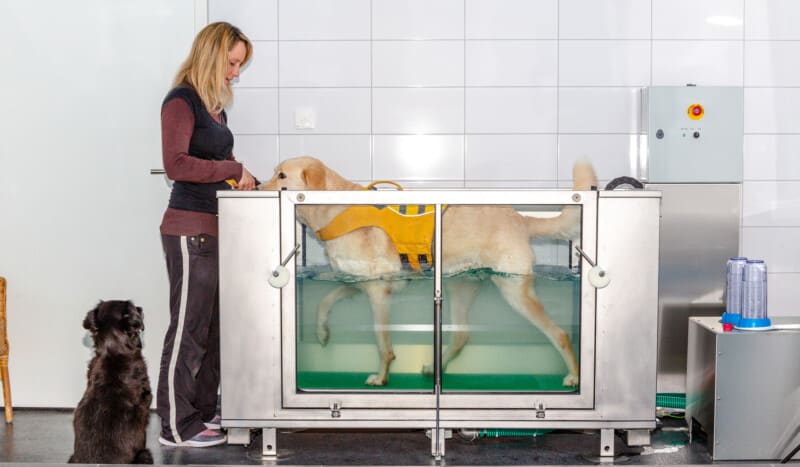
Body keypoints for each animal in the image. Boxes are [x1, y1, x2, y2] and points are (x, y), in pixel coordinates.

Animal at [260, 157, 596, 388]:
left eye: (281, 175)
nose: (257, 188)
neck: (334, 208)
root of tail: (520, 219)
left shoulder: (378, 291)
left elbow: (382, 343)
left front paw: (382, 377)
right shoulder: (358, 283)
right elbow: (324, 301)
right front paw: (322, 333)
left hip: (514, 290)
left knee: (560, 334)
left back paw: (573, 376)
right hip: (461, 287)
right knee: (460, 336)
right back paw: (436, 368)